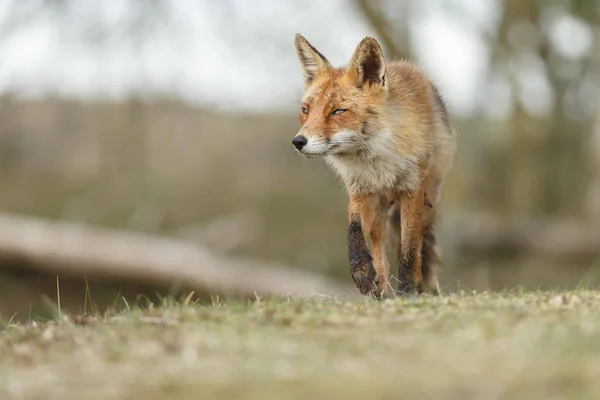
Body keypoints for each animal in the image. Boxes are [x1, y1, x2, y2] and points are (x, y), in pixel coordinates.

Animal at [292, 33, 458, 296]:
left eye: (337, 111)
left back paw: (420, 285)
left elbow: (410, 248)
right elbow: (353, 231)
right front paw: (363, 274)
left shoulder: (412, 190)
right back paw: (379, 280)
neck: (377, 162)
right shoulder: (361, 191)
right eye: (305, 111)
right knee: (378, 237)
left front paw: (407, 290)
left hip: (428, 201)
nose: (298, 141)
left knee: (420, 240)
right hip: (381, 206)